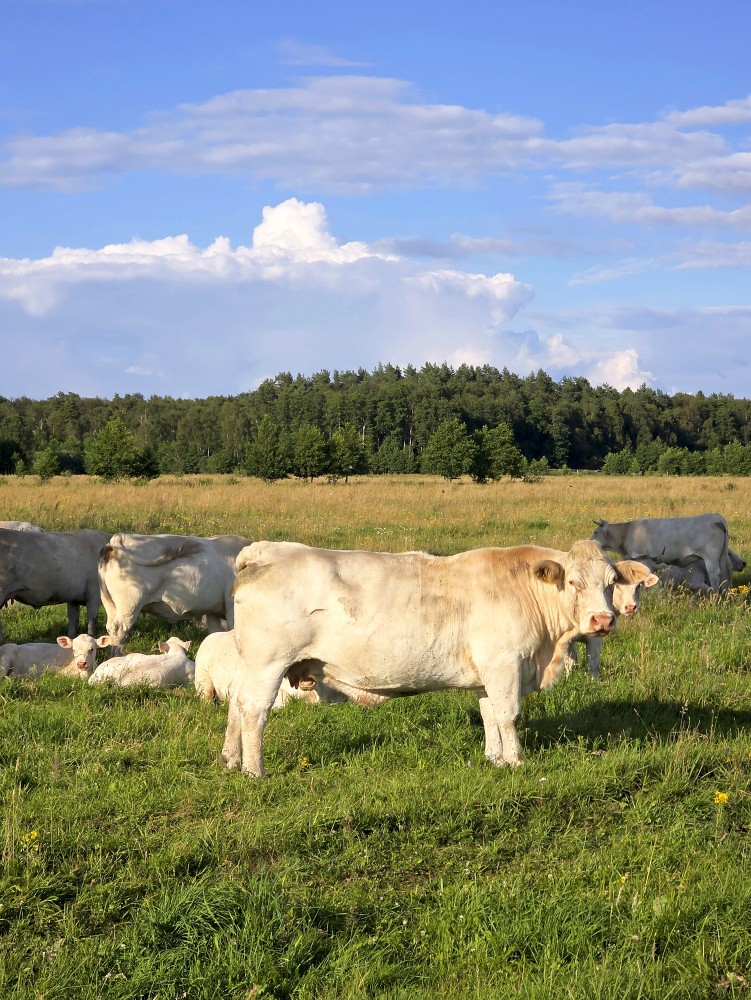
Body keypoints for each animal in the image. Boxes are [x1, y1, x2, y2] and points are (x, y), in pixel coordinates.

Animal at [98, 532, 251, 653]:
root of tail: (115, 541)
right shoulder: (232, 607)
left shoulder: (212, 610)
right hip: (130, 605)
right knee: (120, 630)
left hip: (110, 604)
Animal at [221, 538, 631, 777]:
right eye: (574, 581)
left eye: (612, 583)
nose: (603, 620)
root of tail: (265, 550)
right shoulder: (505, 663)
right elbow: (509, 715)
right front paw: (516, 761)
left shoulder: (487, 673)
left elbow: (489, 715)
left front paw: (494, 759)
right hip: (268, 663)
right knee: (253, 711)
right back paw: (254, 771)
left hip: (249, 663)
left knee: (236, 706)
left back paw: (230, 759)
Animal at [591, 514, 731, 593]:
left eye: (596, 532)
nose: (589, 541)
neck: (628, 532)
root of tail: (716, 517)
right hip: (722, 555)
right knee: (725, 573)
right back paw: (725, 595)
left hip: (710, 557)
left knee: (714, 576)